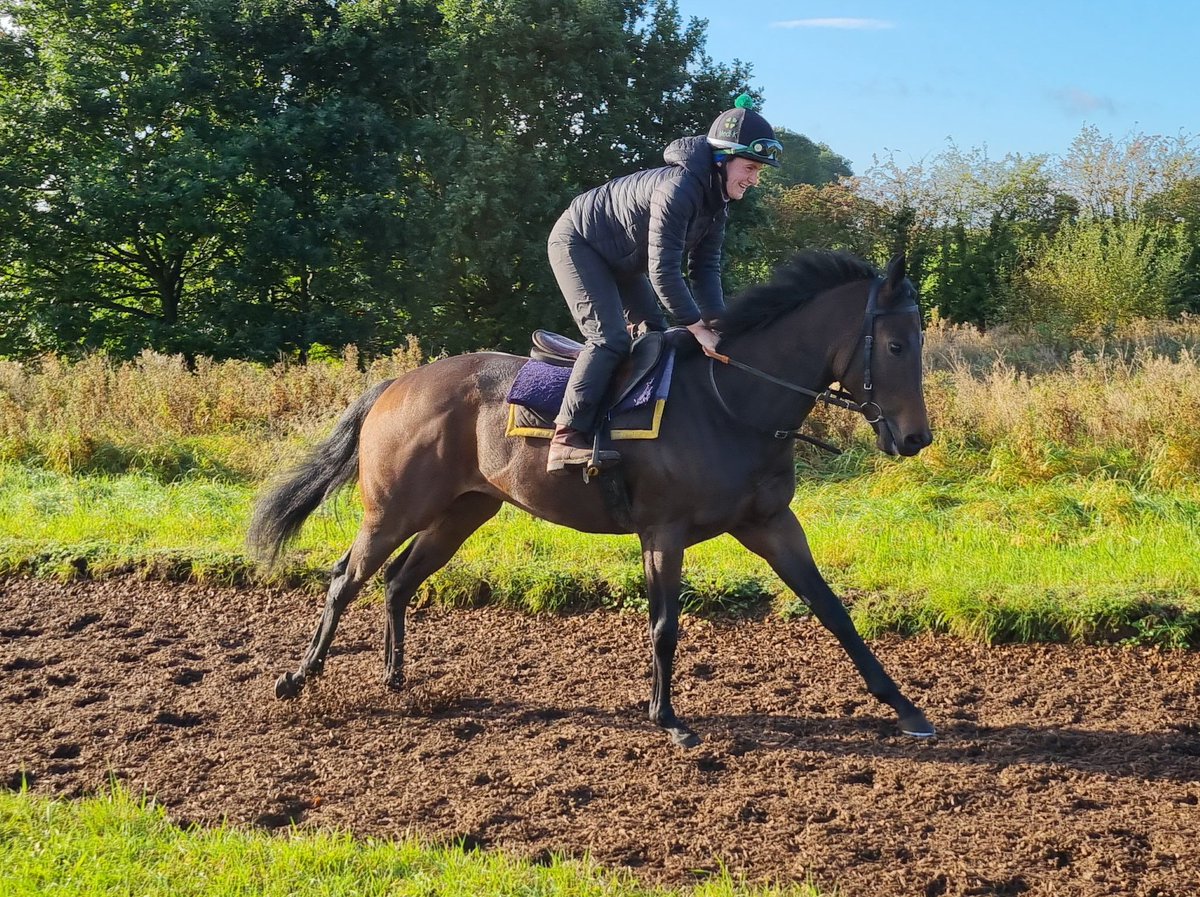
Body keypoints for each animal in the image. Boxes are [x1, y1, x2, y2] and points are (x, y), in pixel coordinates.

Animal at [248, 249, 935, 747]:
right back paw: (298, 677)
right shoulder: (664, 532)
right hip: (393, 510)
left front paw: (905, 707)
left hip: (462, 512)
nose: (915, 438)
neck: (730, 403)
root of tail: (398, 383)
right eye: (896, 345)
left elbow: (833, 610)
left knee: (397, 581)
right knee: (346, 578)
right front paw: (668, 718)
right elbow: (664, 624)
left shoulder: (769, 522)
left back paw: (394, 677)